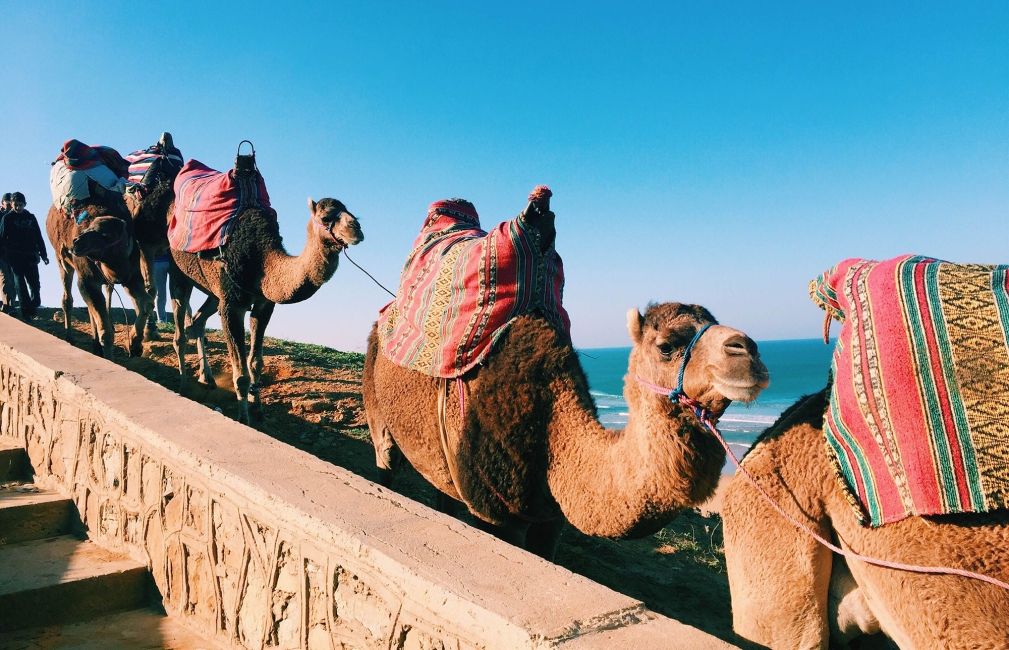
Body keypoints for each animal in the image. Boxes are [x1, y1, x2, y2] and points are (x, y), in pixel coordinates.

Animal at [45, 190, 152, 357]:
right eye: (90, 227)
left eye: (106, 235)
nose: (76, 242)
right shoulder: (87, 280)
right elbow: (106, 332)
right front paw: (110, 356)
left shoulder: (131, 276)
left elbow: (147, 303)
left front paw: (134, 344)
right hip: (62, 260)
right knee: (67, 298)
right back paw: (70, 338)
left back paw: (95, 345)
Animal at [169, 195, 363, 423]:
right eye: (325, 218)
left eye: (353, 215)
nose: (356, 230)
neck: (262, 262)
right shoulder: (231, 305)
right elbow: (241, 374)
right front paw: (244, 418)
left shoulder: (264, 304)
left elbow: (255, 363)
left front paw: (258, 409)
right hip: (178, 270)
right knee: (180, 330)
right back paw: (183, 386)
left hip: (213, 290)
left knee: (197, 322)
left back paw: (206, 378)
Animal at [367, 300, 766, 557]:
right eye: (666, 346)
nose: (747, 350)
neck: (552, 432)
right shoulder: (493, 512)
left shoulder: (549, 518)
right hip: (376, 398)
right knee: (385, 454)